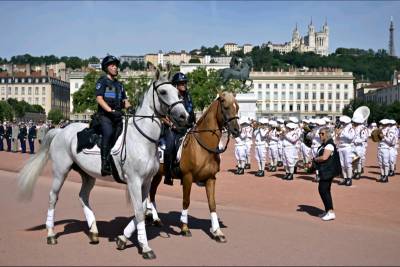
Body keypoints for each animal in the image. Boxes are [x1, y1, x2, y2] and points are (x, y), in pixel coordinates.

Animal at [17, 69, 189, 260]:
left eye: (178, 92)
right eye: (164, 92)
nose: (184, 116)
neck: (143, 139)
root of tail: (61, 130)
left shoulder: (146, 181)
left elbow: (143, 209)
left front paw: (123, 238)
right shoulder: (134, 181)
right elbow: (138, 211)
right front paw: (145, 247)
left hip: (87, 175)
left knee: (83, 196)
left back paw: (93, 231)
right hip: (60, 172)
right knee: (53, 197)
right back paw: (51, 233)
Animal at [147, 91, 241, 243]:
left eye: (237, 107)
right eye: (226, 107)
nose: (237, 130)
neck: (203, 146)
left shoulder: (211, 179)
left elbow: (212, 204)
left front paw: (217, 232)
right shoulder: (187, 177)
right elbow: (186, 201)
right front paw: (185, 227)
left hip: (158, 175)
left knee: (151, 192)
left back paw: (152, 217)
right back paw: (153, 218)